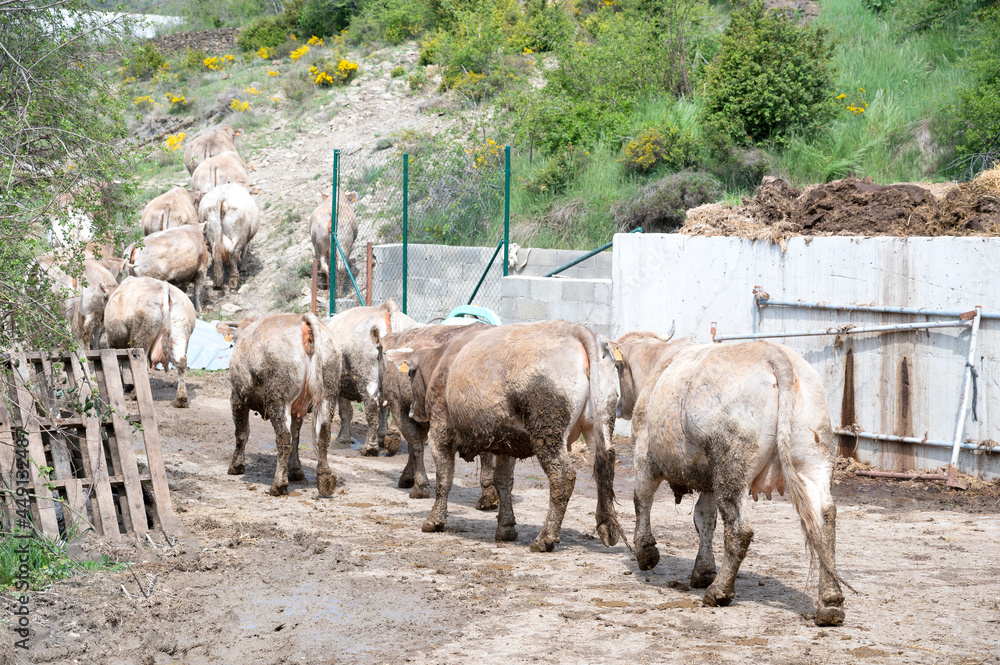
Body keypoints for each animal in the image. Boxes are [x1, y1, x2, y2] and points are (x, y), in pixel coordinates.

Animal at [105, 276, 195, 408]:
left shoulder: (112, 341)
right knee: (181, 363)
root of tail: (164, 286)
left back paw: (135, 394)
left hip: (142, 336)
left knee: (141, 364)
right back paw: (181, 399)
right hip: (180, 332)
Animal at [219, 314, 341, 497]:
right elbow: (296, 437)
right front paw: (296, 470)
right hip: (328, 396)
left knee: (283, 437)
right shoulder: (298, 410)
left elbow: (242, 433)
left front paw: (236, 466)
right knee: (323, 434)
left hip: (278, 399)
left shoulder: (237, 397)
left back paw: (278, 485)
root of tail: (303, 322)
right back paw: (325, 479)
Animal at [323, 300, 418, 456]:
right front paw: (382, 437)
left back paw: (369, 448)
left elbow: (345, 411)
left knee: (371, 406)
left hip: (367, 370)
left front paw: (343, 438)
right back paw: (392, 440)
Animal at [372, 321, 499, 508]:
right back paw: (489, 493)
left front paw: (419, 485)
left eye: (377, 357)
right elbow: (414, 445)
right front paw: (409, 476)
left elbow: (415, 445)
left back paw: (488, 493)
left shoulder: (398, 406)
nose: (379, 393)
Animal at [605, 332, 849, 626]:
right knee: (824, 520)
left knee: (739, 530)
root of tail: (774, 354)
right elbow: (704, 519)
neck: (659, 363)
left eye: (617, 368)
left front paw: (646, 553)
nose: (619, 407)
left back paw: (719, 591)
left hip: (732, 467)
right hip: (812, 461)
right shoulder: (710, 479)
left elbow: (642, 499)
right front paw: (703, 571)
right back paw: (830, 603)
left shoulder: (645, 453)